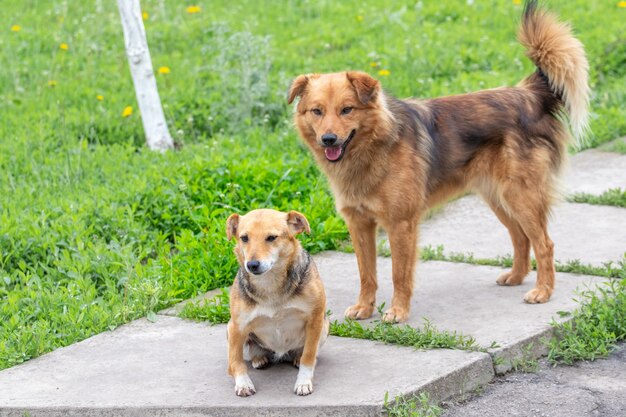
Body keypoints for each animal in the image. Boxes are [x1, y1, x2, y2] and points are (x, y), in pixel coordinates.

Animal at [225, 208, 332, 396]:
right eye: (244, 238)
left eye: (271, 237)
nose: (252, 265)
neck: (270, 282)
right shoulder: (236, 327)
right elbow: (235, 361)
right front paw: (243, 383)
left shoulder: (315, 320)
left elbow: (309, 356)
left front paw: (303, 382)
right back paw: (259, 358)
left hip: (325, 327)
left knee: (305, 352)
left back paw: (296, 357)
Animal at [286, 0, 584, 322]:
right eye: (317, 111)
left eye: (347, 109)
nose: (328, 139)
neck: (373, 149)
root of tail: (527, 95)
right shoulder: (359, 223)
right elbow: (366, 273)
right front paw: (365, 307)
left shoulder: (401, 224)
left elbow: (398, 273)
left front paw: (398, 311)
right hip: (498, 197)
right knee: (520, 237)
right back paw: (516, 277)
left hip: (520, 195)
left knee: (544, 243)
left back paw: (543, 291)